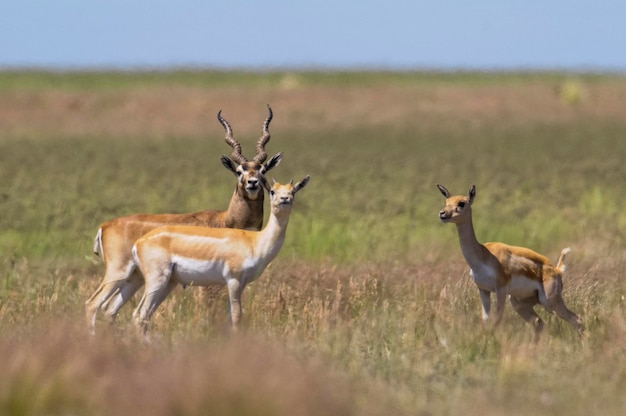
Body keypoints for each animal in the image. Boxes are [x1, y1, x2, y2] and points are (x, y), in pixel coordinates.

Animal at [84, 105, 280, 334]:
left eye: (262, 169)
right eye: (239, 171)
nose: (253, 183)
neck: (226, 220)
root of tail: (105, 225)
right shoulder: (213, 283)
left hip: (135, 278)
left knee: (110, 308)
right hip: (119, 272)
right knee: (93, 304)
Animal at [130, 175, 310, 334]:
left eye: (293, 190)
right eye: (272, 191)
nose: (285, 199)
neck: (254, 242)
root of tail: (138, 243)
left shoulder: (241, 284)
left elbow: (230, 317)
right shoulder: (233, 280)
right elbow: (236, 317)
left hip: (168, 283)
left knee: (142, 314)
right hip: (157, 281)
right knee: (141, 315)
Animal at [436, 185, 584, 342]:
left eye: (462, 203)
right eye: (446, 201)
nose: (443, 213)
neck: (483, 255)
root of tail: (556, 270)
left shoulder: (501, 290)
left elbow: (496, 320)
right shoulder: (483, 290)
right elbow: (486, 320)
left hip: (549, 302)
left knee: (576, 319)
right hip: (518, 302)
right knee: (540, 323)